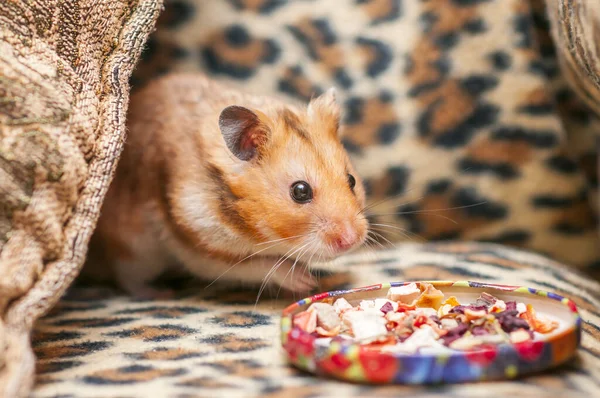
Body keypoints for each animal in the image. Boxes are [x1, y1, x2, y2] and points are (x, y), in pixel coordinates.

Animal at [84, 74, 366, 298]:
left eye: (352, 180)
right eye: (300, 191)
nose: (352, 240)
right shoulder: (196, 243)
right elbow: (256, 266)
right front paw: (305, 281)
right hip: (135, 250)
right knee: (127, 278)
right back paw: (159, 293)